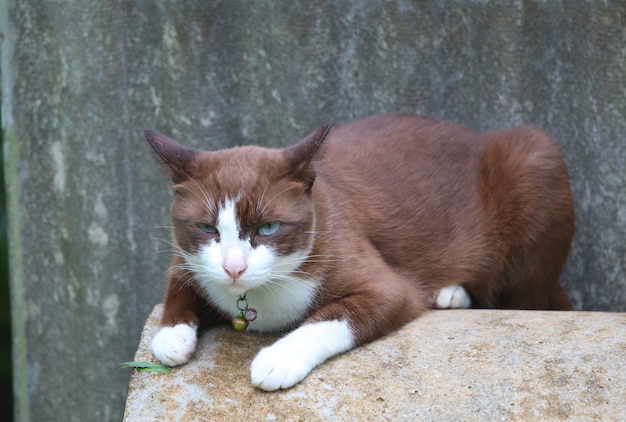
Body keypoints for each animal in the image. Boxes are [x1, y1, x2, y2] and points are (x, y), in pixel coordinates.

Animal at [144, 113, 572, 392]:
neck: (257, 299)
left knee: (523, 296)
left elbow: (332, 318)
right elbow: (178, 284)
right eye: (207, 228)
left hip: (535, 157)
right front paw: (171, 336)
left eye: (268, 228)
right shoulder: (188, 260)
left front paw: (278, 359)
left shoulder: (383, 284)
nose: (234, 268)